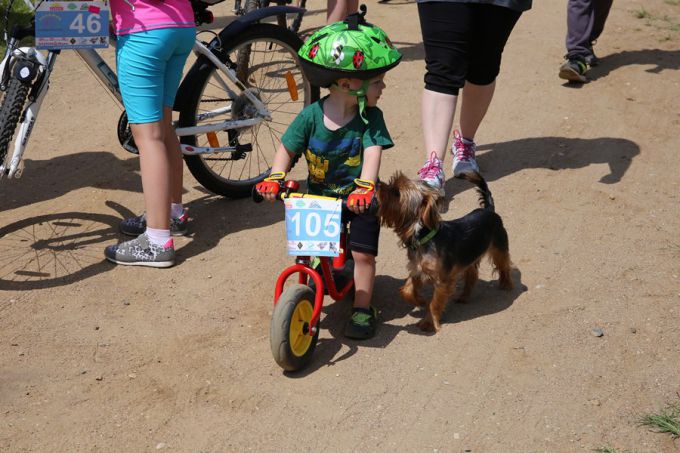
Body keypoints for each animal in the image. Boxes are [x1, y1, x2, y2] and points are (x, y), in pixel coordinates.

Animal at [378, 170, 510, 332]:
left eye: (396, 192)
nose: (378, 185)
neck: (423, 237)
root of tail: (488, 209)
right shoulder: (417, 270)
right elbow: (406, 290)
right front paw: (420, 301)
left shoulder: (442, 281)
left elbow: (434, 303)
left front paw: (428, 322)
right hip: (469, 256)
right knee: (472, 275)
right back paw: (464, 297)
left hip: (498, 247)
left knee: (504, 265)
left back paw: (507, 285)